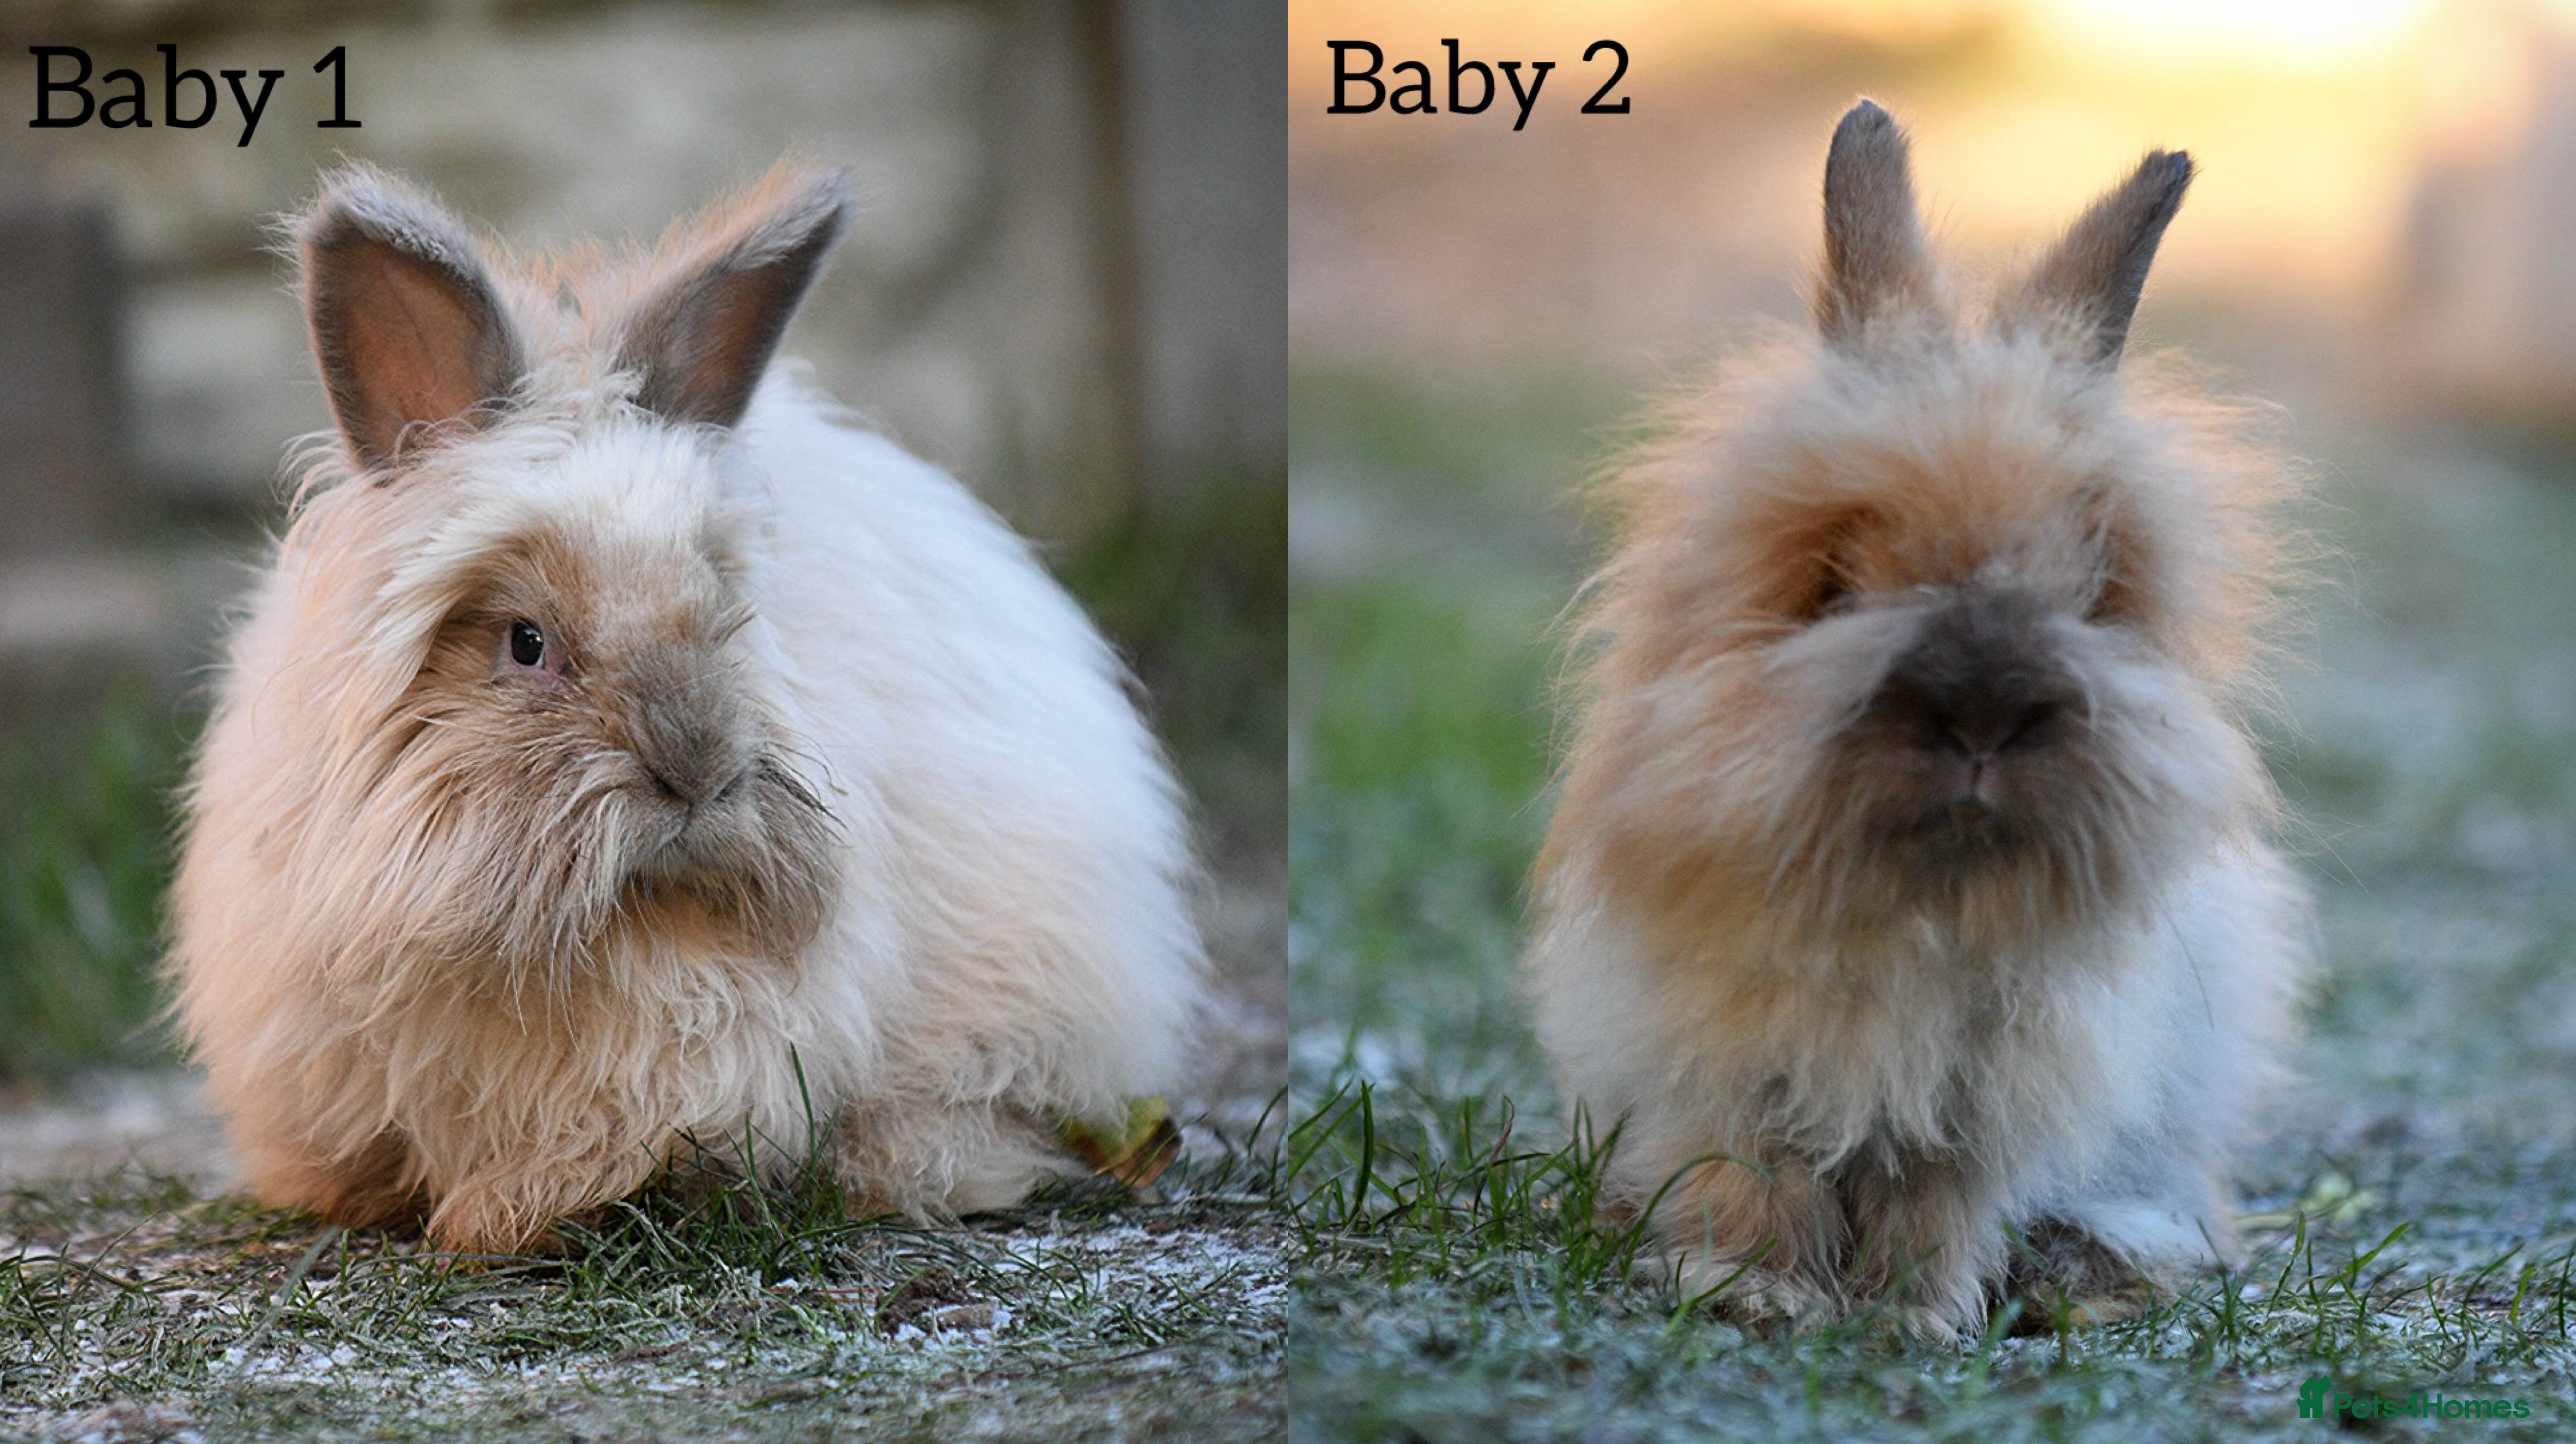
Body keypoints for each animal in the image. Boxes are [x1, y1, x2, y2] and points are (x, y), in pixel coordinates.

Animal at [1524, 101, 2308, 1338]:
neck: (1917, 905)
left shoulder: (1985, 1101)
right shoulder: (1731, 1072)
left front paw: (1910, 1318)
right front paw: (1758, 1297)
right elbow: (1755, 1179)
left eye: (2091, 590)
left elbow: (1932, 1202)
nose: (1984, 713)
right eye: (1835, 581)